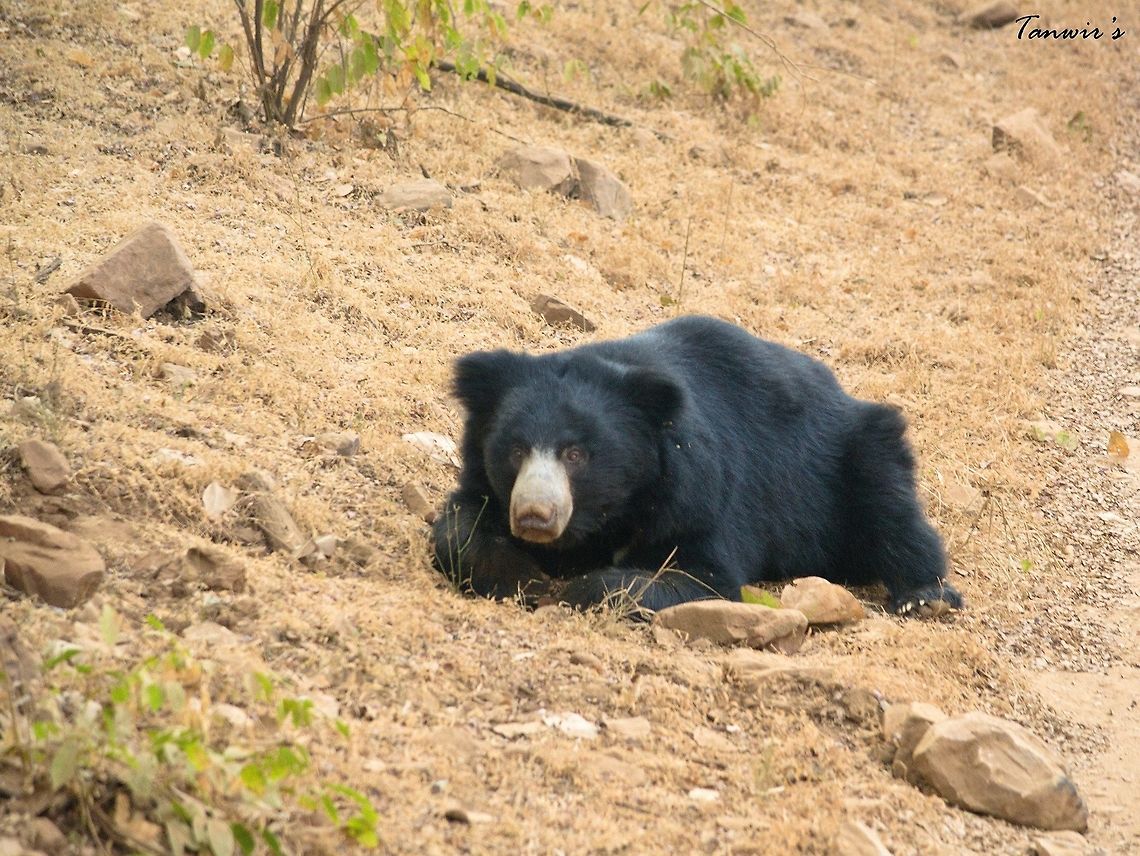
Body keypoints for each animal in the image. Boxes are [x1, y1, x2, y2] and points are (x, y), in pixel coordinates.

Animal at [431, 315, 963, 616]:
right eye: (516, 450)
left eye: (576, 454)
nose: (534, 517)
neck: (607, 516)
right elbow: (461, 525)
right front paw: (524, 577)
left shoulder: (699, 494)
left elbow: (702, 577)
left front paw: (578, 591)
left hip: (851, 458)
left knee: (890, 512)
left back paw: (926, 597)